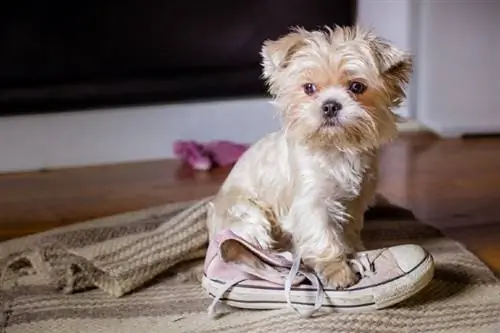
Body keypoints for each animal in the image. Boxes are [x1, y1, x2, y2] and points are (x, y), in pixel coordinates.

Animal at [205, 24, 412, 288]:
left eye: (357, 87)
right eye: (309, 88)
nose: (330, 105)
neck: (336, 148)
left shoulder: (355, 202)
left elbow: (348, 230)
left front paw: (354, 252)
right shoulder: (313, 203)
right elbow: (323, 236)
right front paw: (337, 270)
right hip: (248, 214)